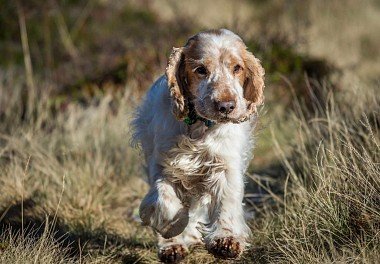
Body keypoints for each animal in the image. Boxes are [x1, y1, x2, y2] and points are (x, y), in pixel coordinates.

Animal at [132, 28, 266, 262]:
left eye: (237, 68)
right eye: (201, 70)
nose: (226, 106)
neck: (198, 128)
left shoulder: (225, 165)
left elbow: (227, 202)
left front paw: (226, 241)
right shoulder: (164, 166)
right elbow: (163, 200)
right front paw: (173, 231)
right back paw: (173, 247)